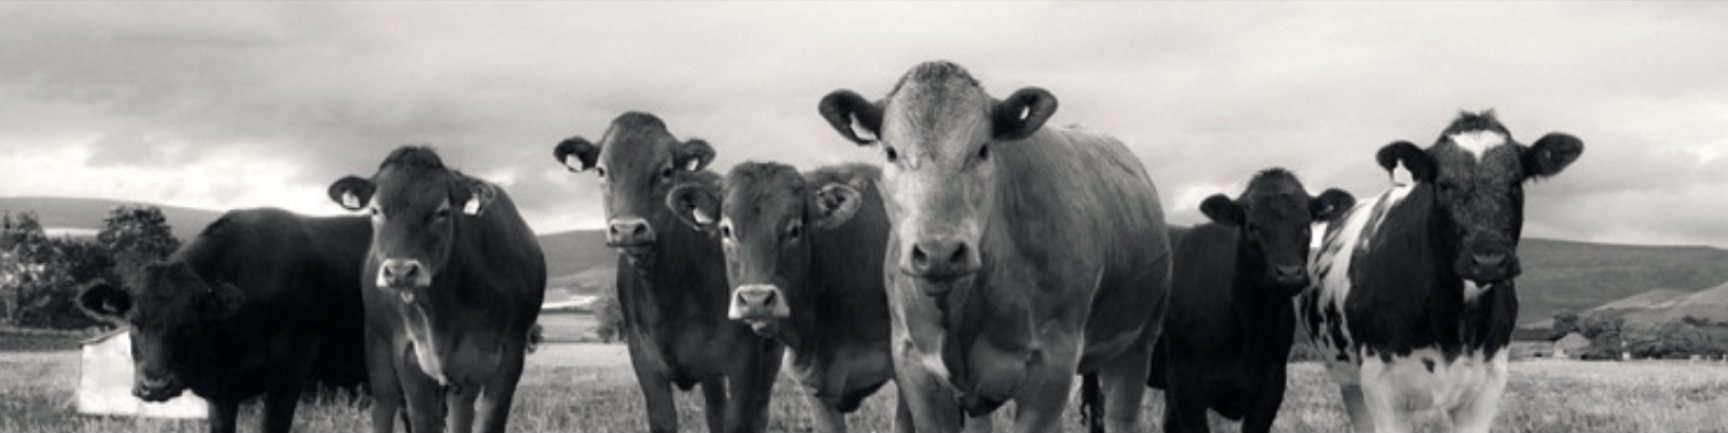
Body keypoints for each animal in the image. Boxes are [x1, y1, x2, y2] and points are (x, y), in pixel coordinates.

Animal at [327, 146, 546, 433]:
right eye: (375, 210)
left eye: (442, 211)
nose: (400, 271)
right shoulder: (408, 353)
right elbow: (423, 420)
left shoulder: (511, 353)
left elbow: (489, 420)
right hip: (377, 342)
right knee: (384, 405)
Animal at [552, 112, 784, 433]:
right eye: (600, 170)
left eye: (666, 170)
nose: (627, 230)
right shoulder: (645, 361)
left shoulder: (744, 362)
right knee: (715, 410)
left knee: (759, 411)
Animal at [816, 60, 1172, 433]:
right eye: (891, 152)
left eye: (983, 149)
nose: (939, 253)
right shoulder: (914, 366)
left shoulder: (1053, 367)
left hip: (1136, 346)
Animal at [1299, 111, 1583, 433]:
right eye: (1444, 184)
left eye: (1515, 182)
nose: (1489, 260)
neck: (1452, 320)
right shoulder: (1378, 382)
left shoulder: (1490, 381)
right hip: (1350, 383)